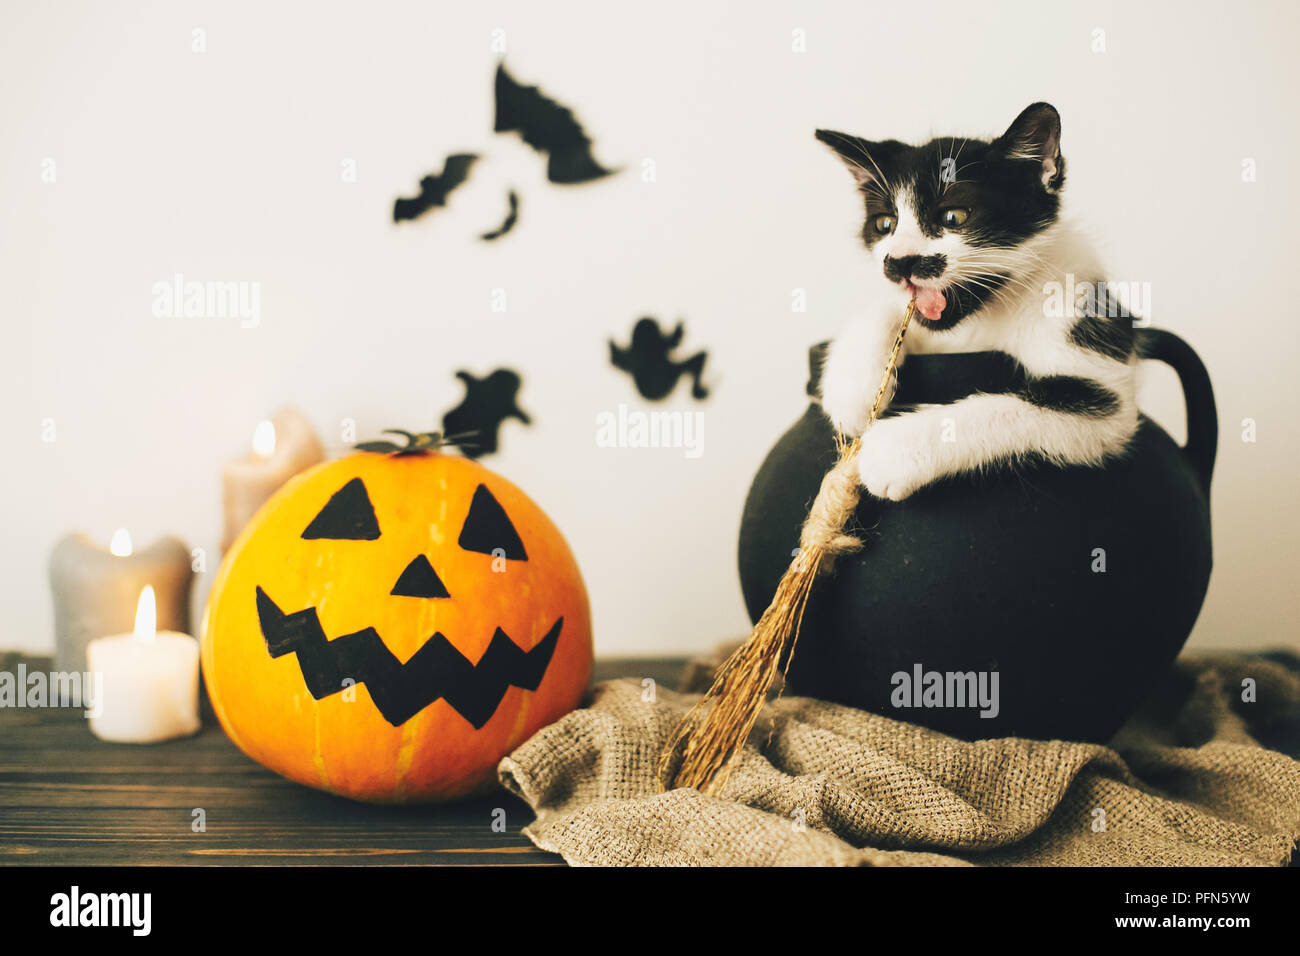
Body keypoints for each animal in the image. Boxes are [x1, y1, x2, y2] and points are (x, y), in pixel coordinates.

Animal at [821, 104, 1138, 502]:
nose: (900, 262)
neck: (985, 316)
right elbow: (887, 309)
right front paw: (853, 391)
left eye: (953, 216)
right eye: (884, 224)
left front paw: (893, 452)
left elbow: (1030, 406)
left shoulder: (1090, 344)